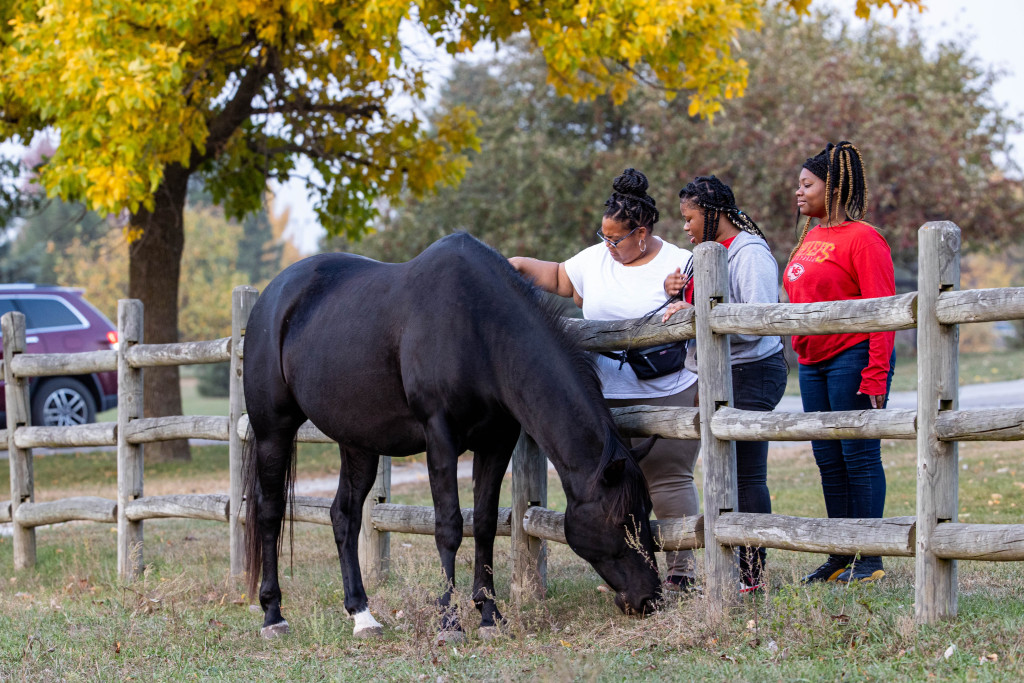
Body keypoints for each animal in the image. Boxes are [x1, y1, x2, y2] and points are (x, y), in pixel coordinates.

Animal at [245, 232, 663, 638]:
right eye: (622, 519)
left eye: (647, 511)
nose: (650, 599)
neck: (477, 328)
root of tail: (271, 295)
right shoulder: (440, 439)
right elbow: (448, 526)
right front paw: (449, 623)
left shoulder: (497, 442)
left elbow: (485, 524)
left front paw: (489, 615)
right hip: (273, 431)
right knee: (270, 510)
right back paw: (272, 615)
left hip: (358, 443)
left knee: (343, 516)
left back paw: (362, 615)